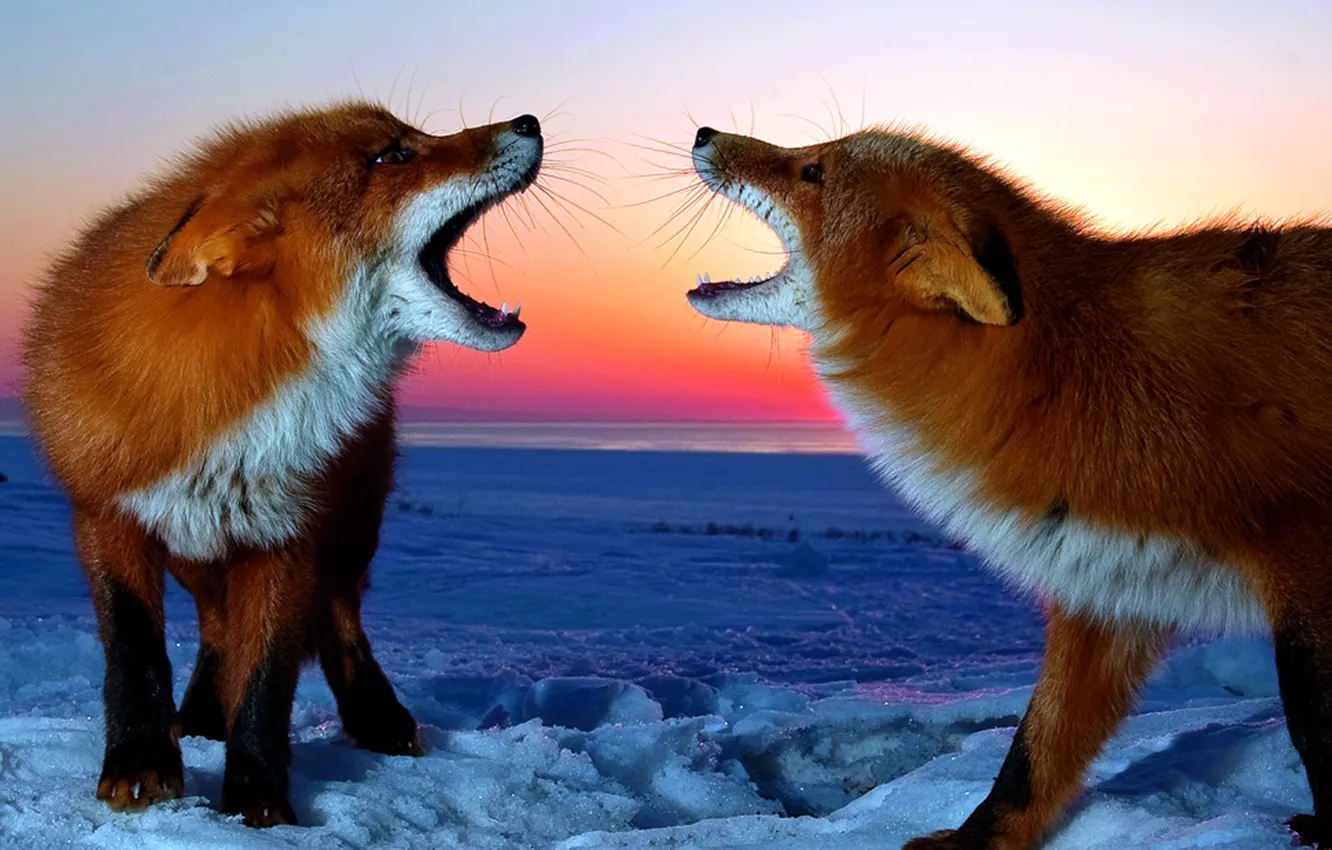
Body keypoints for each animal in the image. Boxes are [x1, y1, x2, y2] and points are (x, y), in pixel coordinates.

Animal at [20, 100, 542, 827]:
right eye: (392, 155)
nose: (529, 122)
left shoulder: (287, 533)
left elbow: (267, 677)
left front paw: (257, 802)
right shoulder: (107, 515)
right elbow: (134, 651)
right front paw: (141, 764)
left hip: (348, 531)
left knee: (340, 619)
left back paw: (376, 718)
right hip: (197, 547)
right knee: (217, 627)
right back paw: (201, 716)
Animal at [684, 123, 1332, 848]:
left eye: (812, 171)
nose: (704, 132)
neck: (1071, 378)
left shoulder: (1304, 556)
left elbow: (1314, 725)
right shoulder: (1108, 586)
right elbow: (1033, 753)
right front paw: (974, 841)